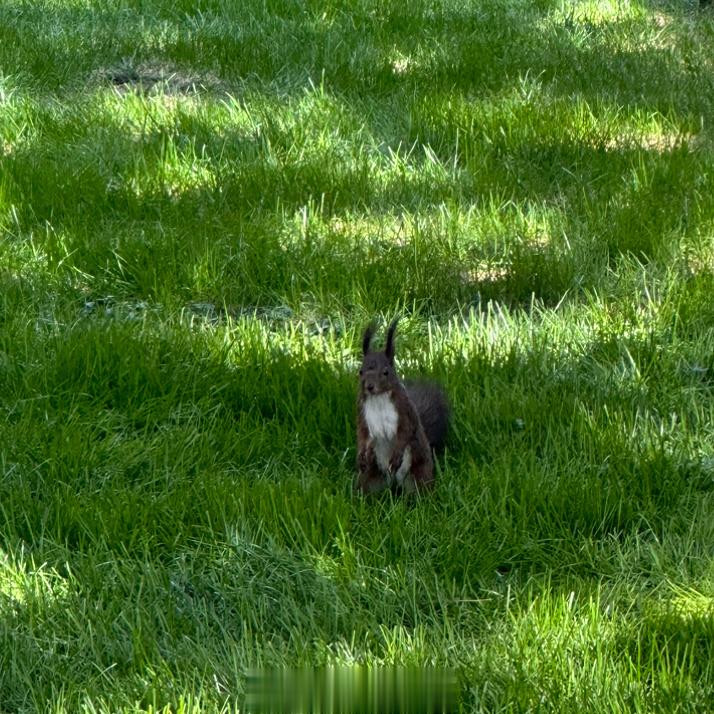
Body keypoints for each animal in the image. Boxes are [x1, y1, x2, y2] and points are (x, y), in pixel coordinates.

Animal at [354, 318, 448, 492]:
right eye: (360, 372)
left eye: (386, 372)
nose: (369, 387)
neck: (379, 397)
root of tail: (394, 484)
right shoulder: (362, 413)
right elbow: (363, 434)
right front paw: (361, 456)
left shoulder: (405, 410)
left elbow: (405, 431)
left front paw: (396, 457)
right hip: (371, 477)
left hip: (417, 475)